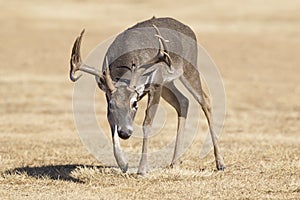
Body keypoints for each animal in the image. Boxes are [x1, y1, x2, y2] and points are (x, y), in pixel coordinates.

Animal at [69, 16, 225, 175]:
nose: (125, 132)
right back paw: (175, 161)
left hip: (189, 68)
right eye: (111, 104)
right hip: (168, 83)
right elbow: (111, 123)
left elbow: (147, 123)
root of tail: (189, 29)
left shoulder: (155, 83)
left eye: (135, 103)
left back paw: (220, 163)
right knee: (183, 101)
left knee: (205, 100)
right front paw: (123, 163)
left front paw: (142, 168)